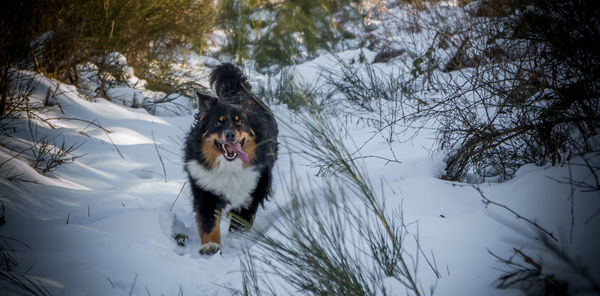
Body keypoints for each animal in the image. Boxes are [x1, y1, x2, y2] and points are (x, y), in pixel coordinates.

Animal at [183, 63, 278, 254]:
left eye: (239, 121)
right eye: (218, 122)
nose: (230, 134)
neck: (229, 167)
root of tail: (236, 88)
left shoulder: (251, 193)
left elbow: (239, 225)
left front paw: (236, 242)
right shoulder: (205, 188)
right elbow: (208, 222)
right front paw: (210, 246)